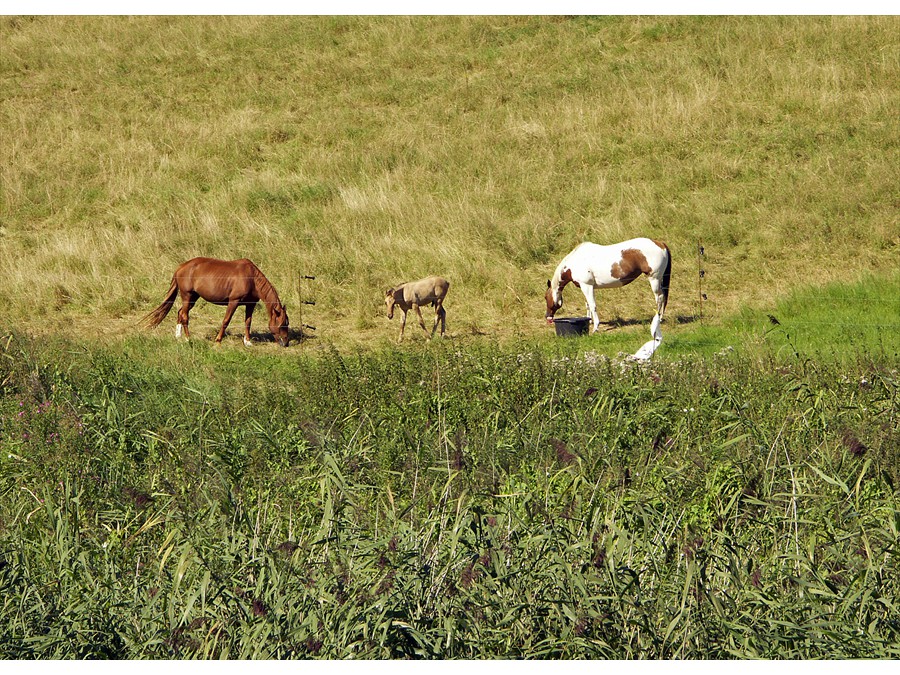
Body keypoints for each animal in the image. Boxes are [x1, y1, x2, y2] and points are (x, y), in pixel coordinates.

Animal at [145, 256, 288, 346]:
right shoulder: (233, 302)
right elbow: (226, 321)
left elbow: (248, 322)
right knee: (184, 315)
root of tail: (181, 267)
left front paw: (247, 342)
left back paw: (178, 336)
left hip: (193, 298)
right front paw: (218, 340)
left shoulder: (250, 304)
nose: (286, 343)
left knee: (180, 312)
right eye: (282, 324)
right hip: (187, 296)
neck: (251, 278)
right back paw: (187, 338)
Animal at [544, 240, 672, 338]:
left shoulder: (587, 286)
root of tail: (660, 243)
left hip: (654, 279)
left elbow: (593, 305)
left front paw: (595, 327)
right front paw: (589, 320)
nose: (547, 316)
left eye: (545, 297)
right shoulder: (586, 287)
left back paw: (658, 319)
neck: (575, 262)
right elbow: (588, 305)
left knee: (660, 298)